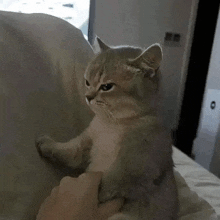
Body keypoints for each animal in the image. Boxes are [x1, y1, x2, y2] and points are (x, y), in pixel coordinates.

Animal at [35, 37, 179, 220]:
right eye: (87, 82)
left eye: (106, 87)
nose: (88, 97)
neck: (112, 124)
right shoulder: (87, 141)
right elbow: (69, 150)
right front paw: (47, 145)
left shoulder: (135, 167)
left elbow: (107, 187)